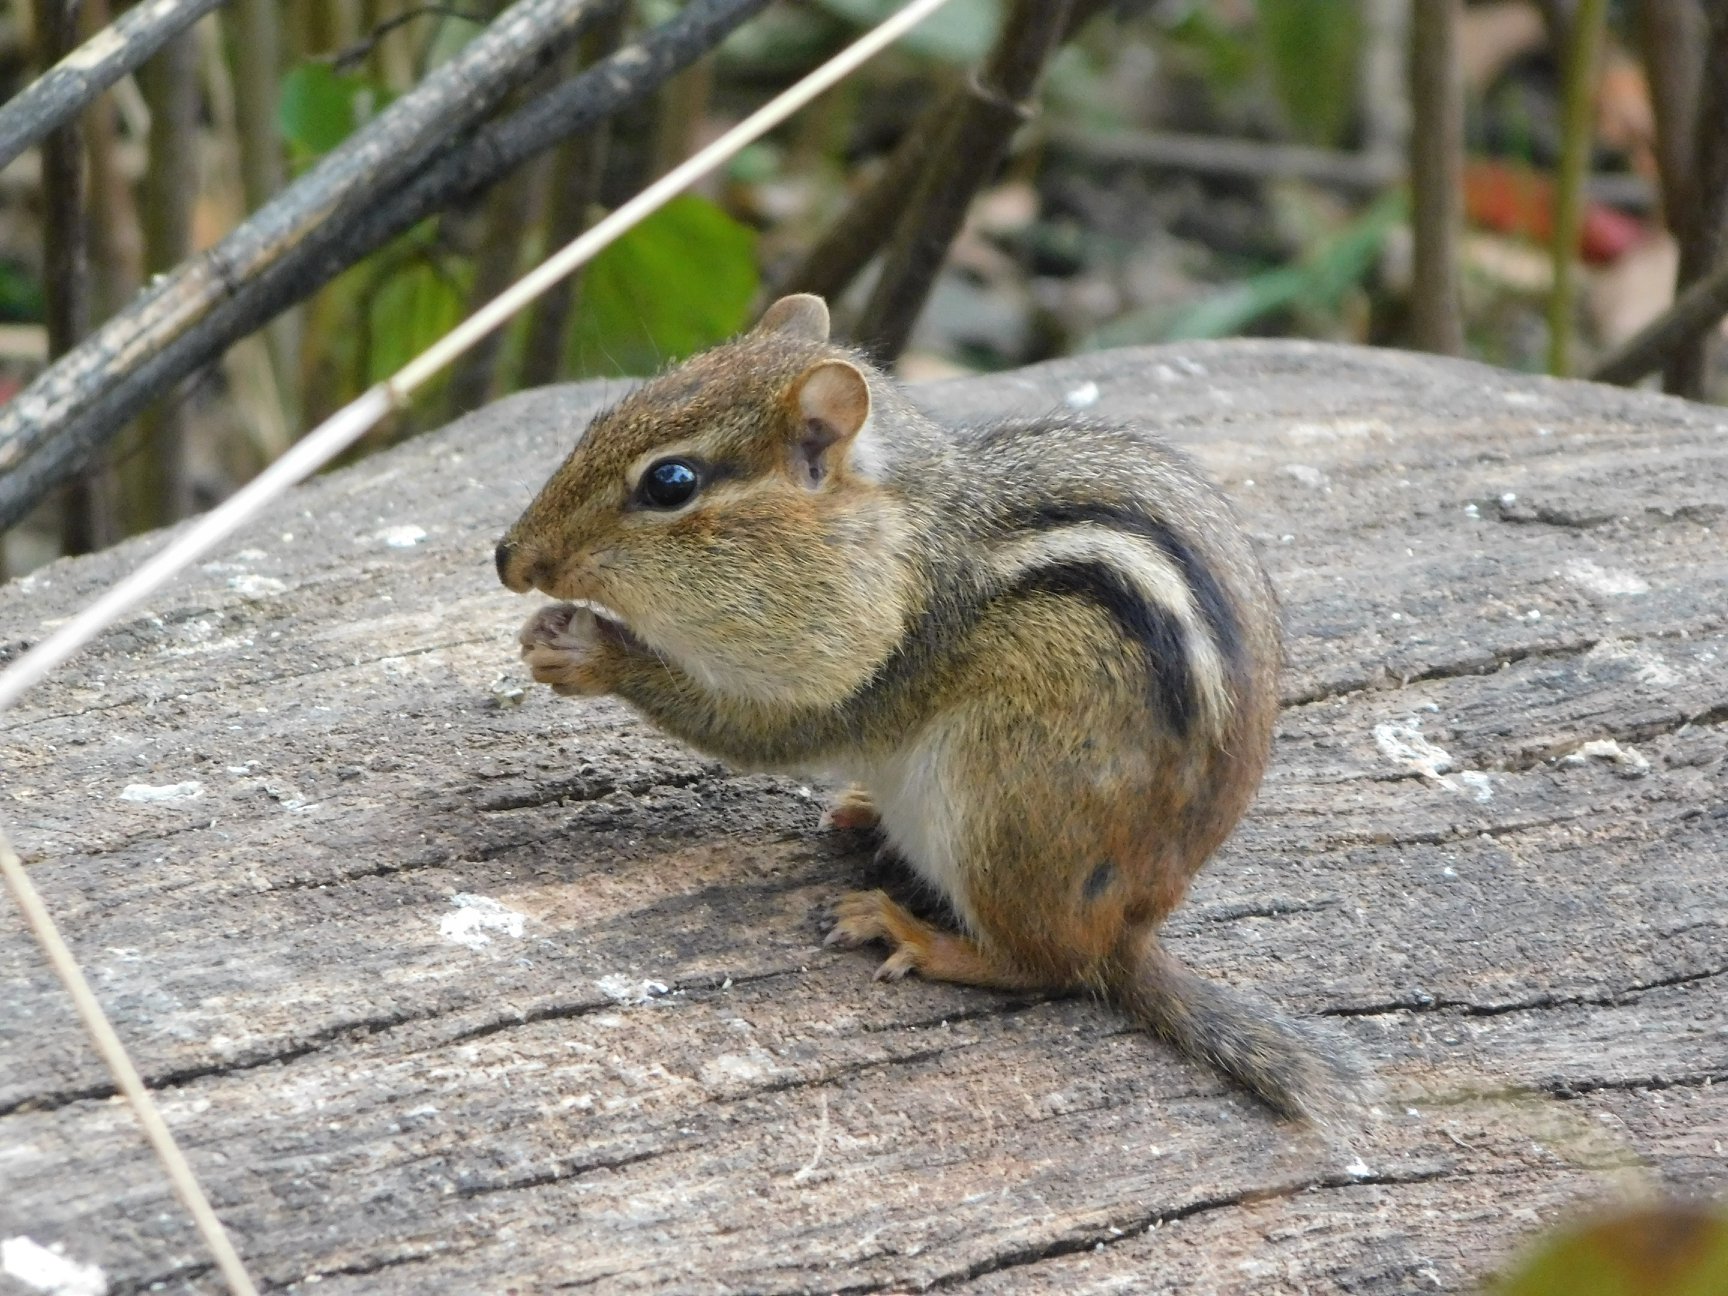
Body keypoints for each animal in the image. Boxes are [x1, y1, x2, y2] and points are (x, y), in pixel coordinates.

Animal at [495, 294, 1367, 1122]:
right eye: (597, 421)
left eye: (669, 483)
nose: (508, 558)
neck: (898, 538)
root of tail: (1126, 936)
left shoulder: (866, 671)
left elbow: (752, 731)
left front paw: (588, 650)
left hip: (995, 808)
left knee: (1046, 967)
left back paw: (915, 933)